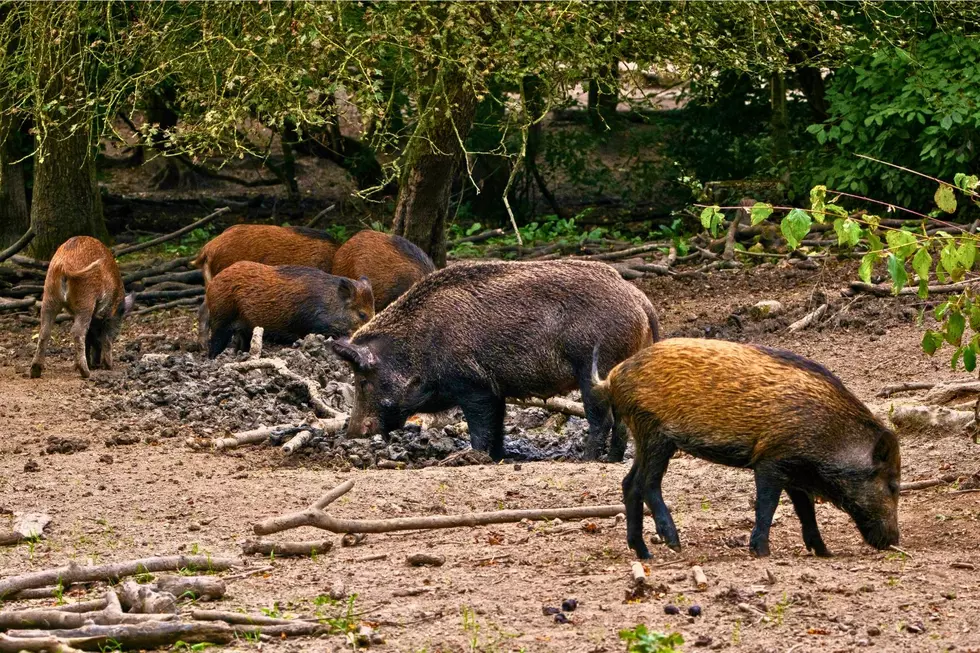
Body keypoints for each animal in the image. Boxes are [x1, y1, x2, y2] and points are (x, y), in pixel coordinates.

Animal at [30, 236, 135, 379]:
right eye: (119, 326)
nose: (97, 364)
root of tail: (64, 264)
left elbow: (89, 336)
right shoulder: (109, 316)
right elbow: (105, 337)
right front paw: (109, 367)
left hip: (49, 295)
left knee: (44, 331)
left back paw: (35, 372)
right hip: (85, 299)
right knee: (77, 331)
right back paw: (86, 372)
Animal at [205, 261, 374, 358]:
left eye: (374, 313)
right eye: (361, 314)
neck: (328, 304)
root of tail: (212, 282)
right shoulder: (310, 326)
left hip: (245, 328)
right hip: (221, 317)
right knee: (215, 342)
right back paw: (212, 359)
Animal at [331, 259, 660, 462]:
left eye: (363, 380)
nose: (351, 433)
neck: (417, 345)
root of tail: (641, 301)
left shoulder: (472, 384)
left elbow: (480, 425)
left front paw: (471, 457)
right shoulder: (496, 389)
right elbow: (498, 424)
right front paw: (499, 457)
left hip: (595, 366)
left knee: (602, 418)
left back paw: (584, 460)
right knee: (621, 422)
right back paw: (612, 460)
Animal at [590, 338, 901, 559]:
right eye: (893, 486)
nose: (894, 541)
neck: (829, 433)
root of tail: (612, 378)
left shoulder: (795, 471)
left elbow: (806, 510)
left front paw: (825, 552)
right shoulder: (771, 460)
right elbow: (767, 505)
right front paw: (761, 552)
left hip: (645, 437)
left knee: (629, 483)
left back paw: (645, 554)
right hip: (655, 434)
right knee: (647, 484)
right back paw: (674, 543)